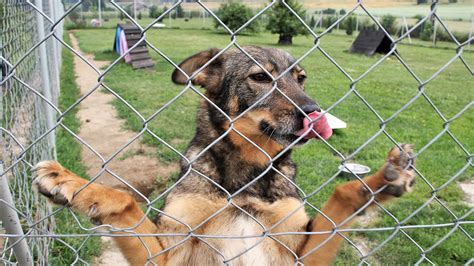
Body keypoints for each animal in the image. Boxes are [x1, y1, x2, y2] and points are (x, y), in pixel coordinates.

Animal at [33, 46, 414, 264]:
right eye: (260, 77)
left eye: (301, 79)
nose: (315, 114)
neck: (246, 178)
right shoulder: (168, 254)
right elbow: (125, 203)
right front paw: (72, 182)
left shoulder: (301, 255)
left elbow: (343, 194)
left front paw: (384, 178)